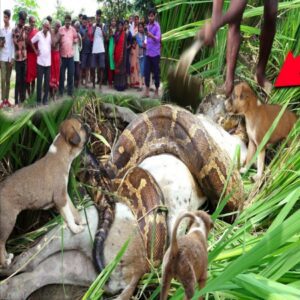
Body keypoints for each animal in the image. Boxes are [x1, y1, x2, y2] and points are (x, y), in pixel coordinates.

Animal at [0, 117, 90, 268]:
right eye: (82, 127)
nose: (89, 124)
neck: (60, 153)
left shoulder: (64, 195)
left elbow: (72, 210)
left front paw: (81, 220)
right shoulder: (60, 198)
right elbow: (69, 216)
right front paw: (75, 228)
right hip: (7, 222)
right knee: (1, 244)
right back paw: (5, 261)